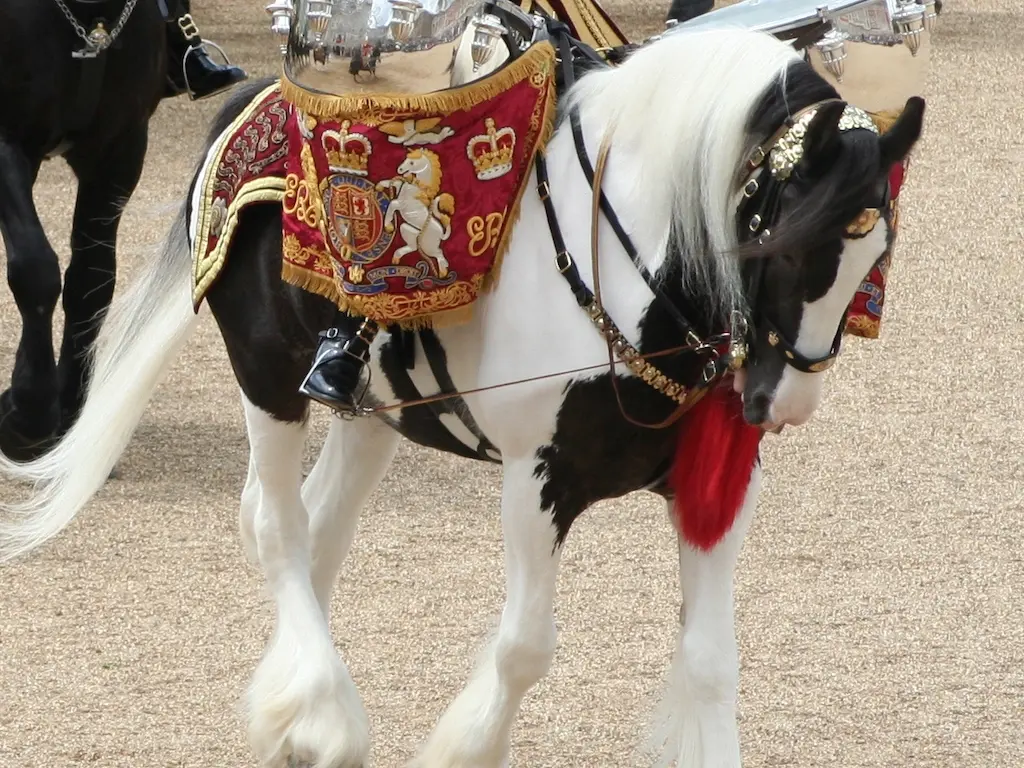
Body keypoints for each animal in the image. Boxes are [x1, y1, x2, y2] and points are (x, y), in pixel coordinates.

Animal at [0, 0, 244, 463]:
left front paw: (66, 418)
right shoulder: (6, 146)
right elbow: (35, 269)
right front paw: (26, 414)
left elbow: (91, 279)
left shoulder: (118, 153)